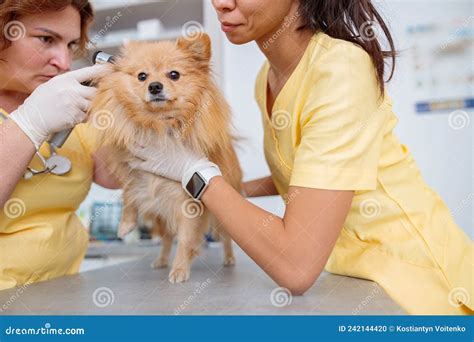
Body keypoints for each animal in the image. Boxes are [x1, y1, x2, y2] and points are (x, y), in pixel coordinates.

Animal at [89, 33, 243, 282]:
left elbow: (186, 239)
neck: (158, 126)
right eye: (142, 76)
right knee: (167, 239)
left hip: (223, 216)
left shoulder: (188, 205)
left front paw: (180, 269)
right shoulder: (132, 169)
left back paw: (228, 258)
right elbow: (128, 193)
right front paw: (126, 223)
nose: (154, 86)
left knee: (225, 238)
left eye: (174, 74)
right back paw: (161, 259)